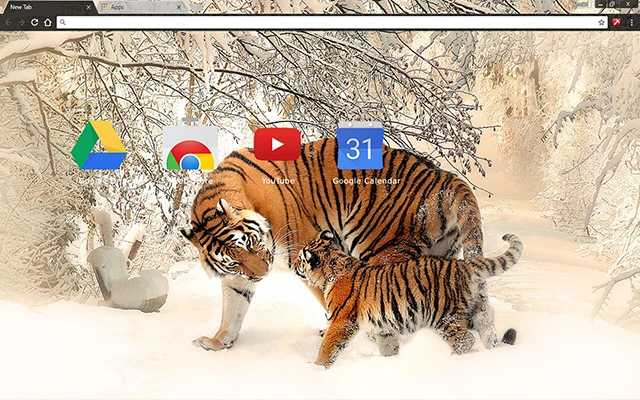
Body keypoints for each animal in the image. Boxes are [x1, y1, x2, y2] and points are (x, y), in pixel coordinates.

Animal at [181, 138, 494, 352]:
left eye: (250, 243)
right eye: (233, 260)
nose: (262, 274)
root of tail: (445, 176)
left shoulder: (305, 251)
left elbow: (331, 298)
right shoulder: (238, 277)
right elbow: (232, 309)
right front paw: (218, 342)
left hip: (381, 249)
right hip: (440, 256)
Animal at [295, 230, 523, 369]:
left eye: (300, 259)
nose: (295, 266)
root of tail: (464, 265)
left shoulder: (341, 321)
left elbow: (328, 347)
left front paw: (316, 368)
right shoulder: (382, 327)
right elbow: (388, 346)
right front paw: (392, 362)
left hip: (444, 316)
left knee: (465, 340)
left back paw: (453, 361)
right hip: (478, 310)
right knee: (488, 330)